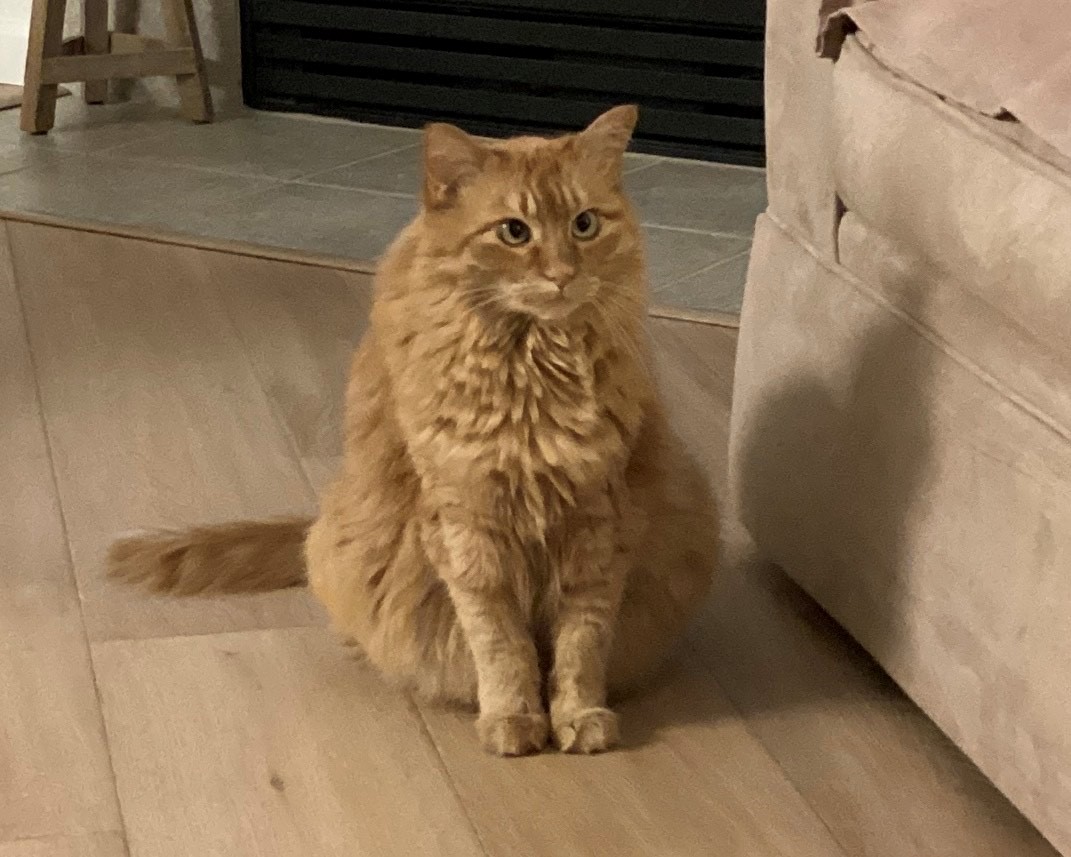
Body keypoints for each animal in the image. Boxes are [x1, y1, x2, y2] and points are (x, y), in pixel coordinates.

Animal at [108, 107, 719, 758]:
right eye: (514, 232)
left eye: (584, 225)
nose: (561, 275)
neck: (532, 376)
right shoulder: (465, 524)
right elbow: (501, 645)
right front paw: (512, 718)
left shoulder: (597, 517)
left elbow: (581, 642)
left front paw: (579, 716)